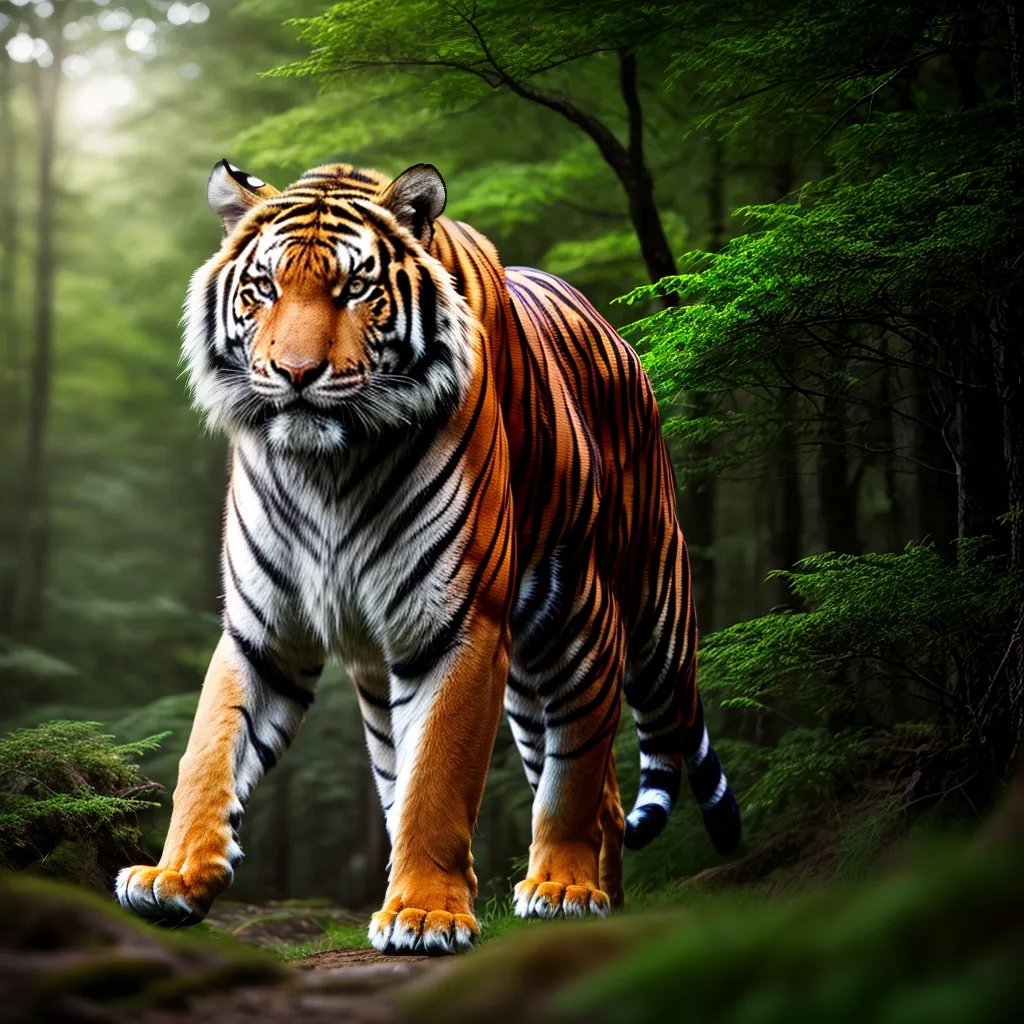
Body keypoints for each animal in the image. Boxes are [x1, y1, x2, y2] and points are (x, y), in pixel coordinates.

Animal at [115, 159, 741, 954]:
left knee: (580, 767)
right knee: (590, 784)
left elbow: (437, 780)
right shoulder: (263, 631)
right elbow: (210, 752)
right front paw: (173, 878)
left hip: (635, 618)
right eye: (264, 288)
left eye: (355, 289)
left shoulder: (457, 625)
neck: (328, 469)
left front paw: (424, 914)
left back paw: (567, 891)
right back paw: (590, 893)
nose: (294, 372)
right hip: (519, 684)